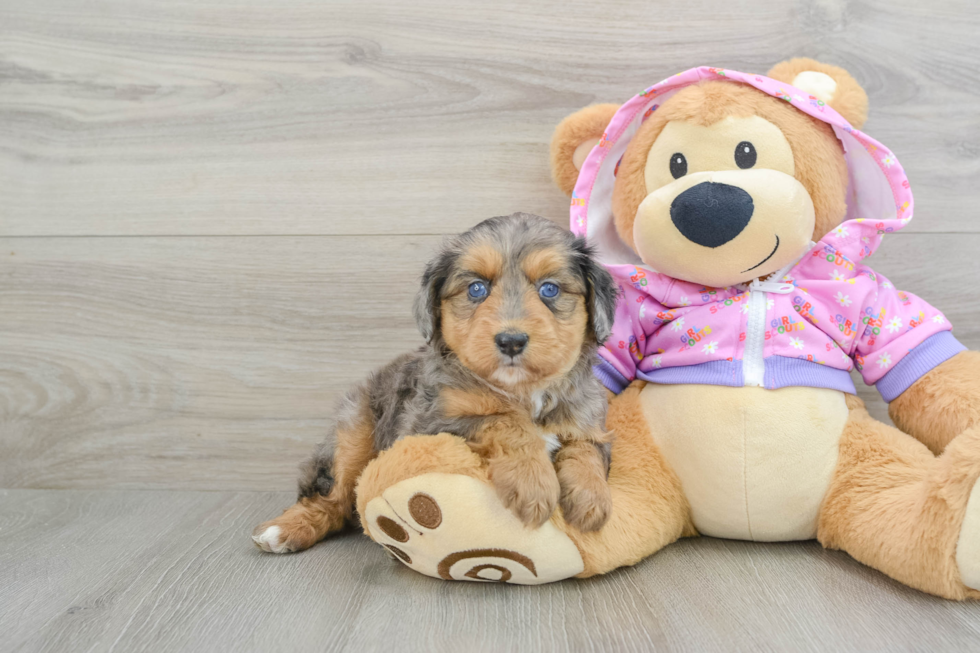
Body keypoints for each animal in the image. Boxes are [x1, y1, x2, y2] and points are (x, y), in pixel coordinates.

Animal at [255, 213, 620, 552]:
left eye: (549, 289)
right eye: (477, 289)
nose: (511, 341)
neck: (521, 391)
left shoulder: (589, 419)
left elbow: (585, 448)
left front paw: (591, 498)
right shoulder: (428, 424)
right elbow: (505, 421)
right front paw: (533, 483)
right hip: (354, 430)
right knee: (335, 498)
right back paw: (284, 530)